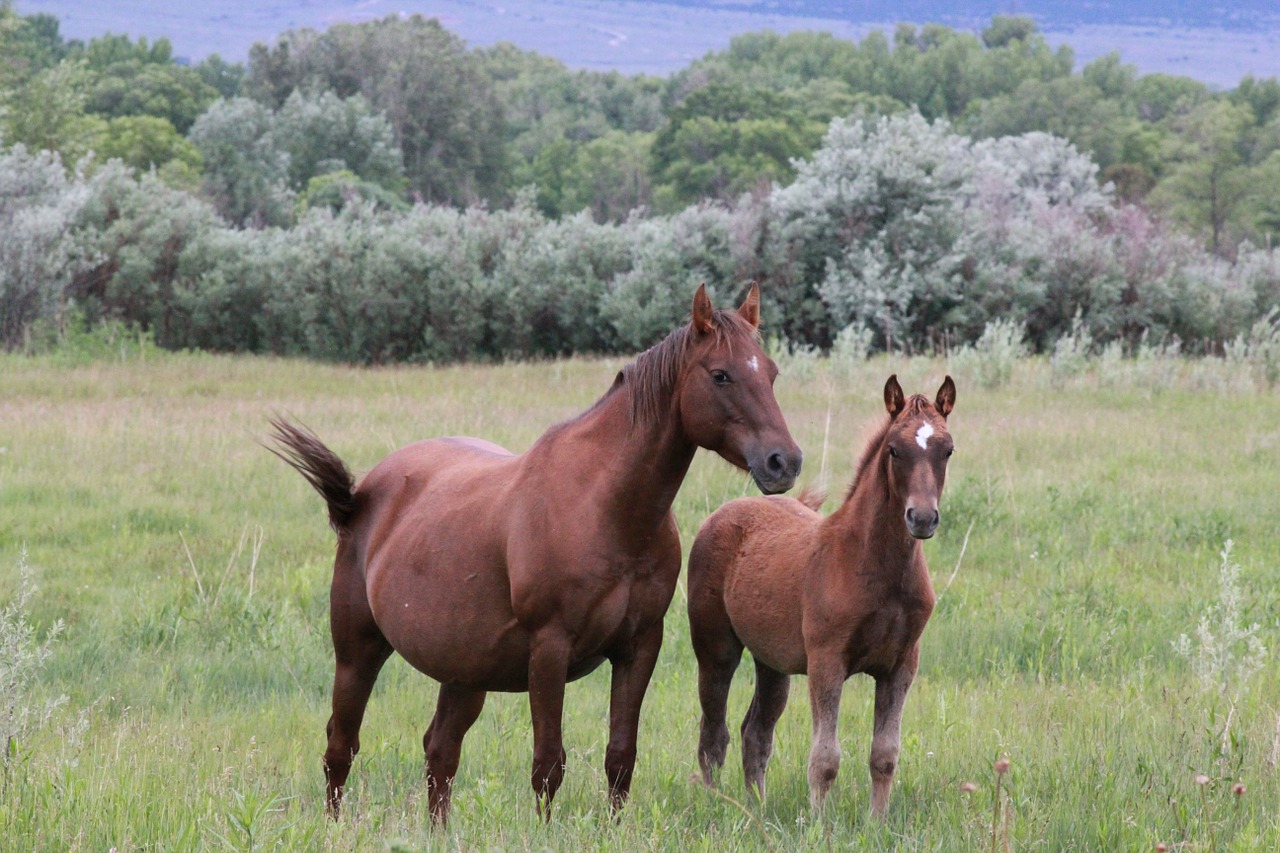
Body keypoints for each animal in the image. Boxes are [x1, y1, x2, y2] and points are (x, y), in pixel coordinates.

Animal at [270, 281, 798, 819]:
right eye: (720, 375)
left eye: (771, 372)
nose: (784, 462)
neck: (603, 506)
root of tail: (363, 495)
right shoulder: (550, 648)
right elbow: (548, 764)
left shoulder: (639, 646)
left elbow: (620, 757)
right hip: (357, 650)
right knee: (341, 746)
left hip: (463, 672)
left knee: (440, 752)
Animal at [691, 373, 952, 819]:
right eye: (894, 450)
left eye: (948, 450)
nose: (921, 518)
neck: (877, 567)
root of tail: (722, 514)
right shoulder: (826, 661)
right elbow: (825, 758)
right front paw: (817, 823)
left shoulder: (901, 666)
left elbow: (885, 755)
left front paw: (877, 823)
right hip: (716, 650)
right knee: (714, 734)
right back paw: (715, 806)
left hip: (772, 661)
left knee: (755, 733)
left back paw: (757, 808)